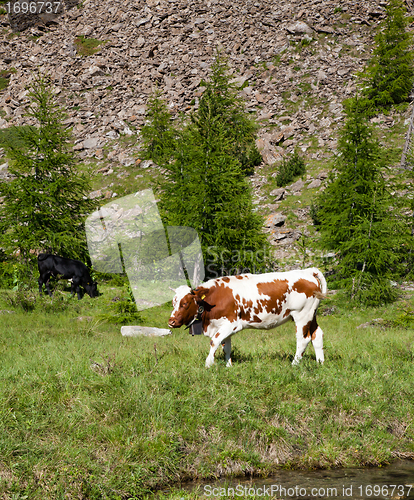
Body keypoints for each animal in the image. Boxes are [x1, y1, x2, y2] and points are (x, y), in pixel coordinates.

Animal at [168, 268, 326, 370]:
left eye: (185, 303)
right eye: (173, 302)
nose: (171, 322)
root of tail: (307, 272)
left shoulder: (232, 324)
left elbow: (214, 342)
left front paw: (208, 364)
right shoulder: (222, 325)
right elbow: (226, 346)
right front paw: (229, 366)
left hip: (302, 315)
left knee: (303, 339)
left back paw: (294, 364)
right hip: (311, 315)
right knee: (317, 335)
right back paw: (320, 363)